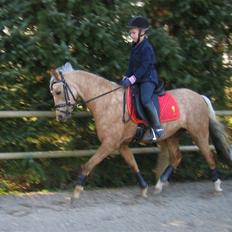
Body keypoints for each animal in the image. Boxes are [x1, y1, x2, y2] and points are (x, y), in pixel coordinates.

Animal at [49, 68, 231, 199]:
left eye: (58, 92)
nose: (60, 117)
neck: (107, 102)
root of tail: (199, 96)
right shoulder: (121, 145)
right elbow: (133, 164)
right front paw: (143, 188)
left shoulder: (109, 144)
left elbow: (89, 164)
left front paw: (77, 190)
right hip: (172, 135)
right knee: (176, 157)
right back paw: (159, 185)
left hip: (198, 134)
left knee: (209, 156)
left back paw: (217, 186)